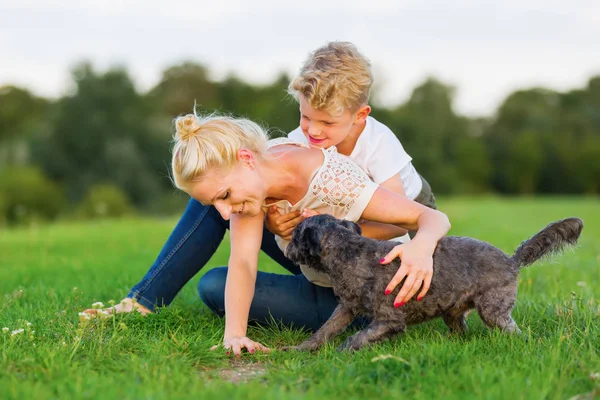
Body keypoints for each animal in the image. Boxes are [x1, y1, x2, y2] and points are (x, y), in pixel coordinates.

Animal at [284, 214, 584, 352]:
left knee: (514, 331)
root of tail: (512, 261)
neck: (350, 251)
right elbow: (324, 330)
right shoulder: (346, 308)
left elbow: (356, 337)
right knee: (461, 330)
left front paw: (342, 352)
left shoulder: (389, 319)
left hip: (493, 310)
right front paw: (301, 349)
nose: (287, 247)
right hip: (454, 312)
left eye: (297, 234)